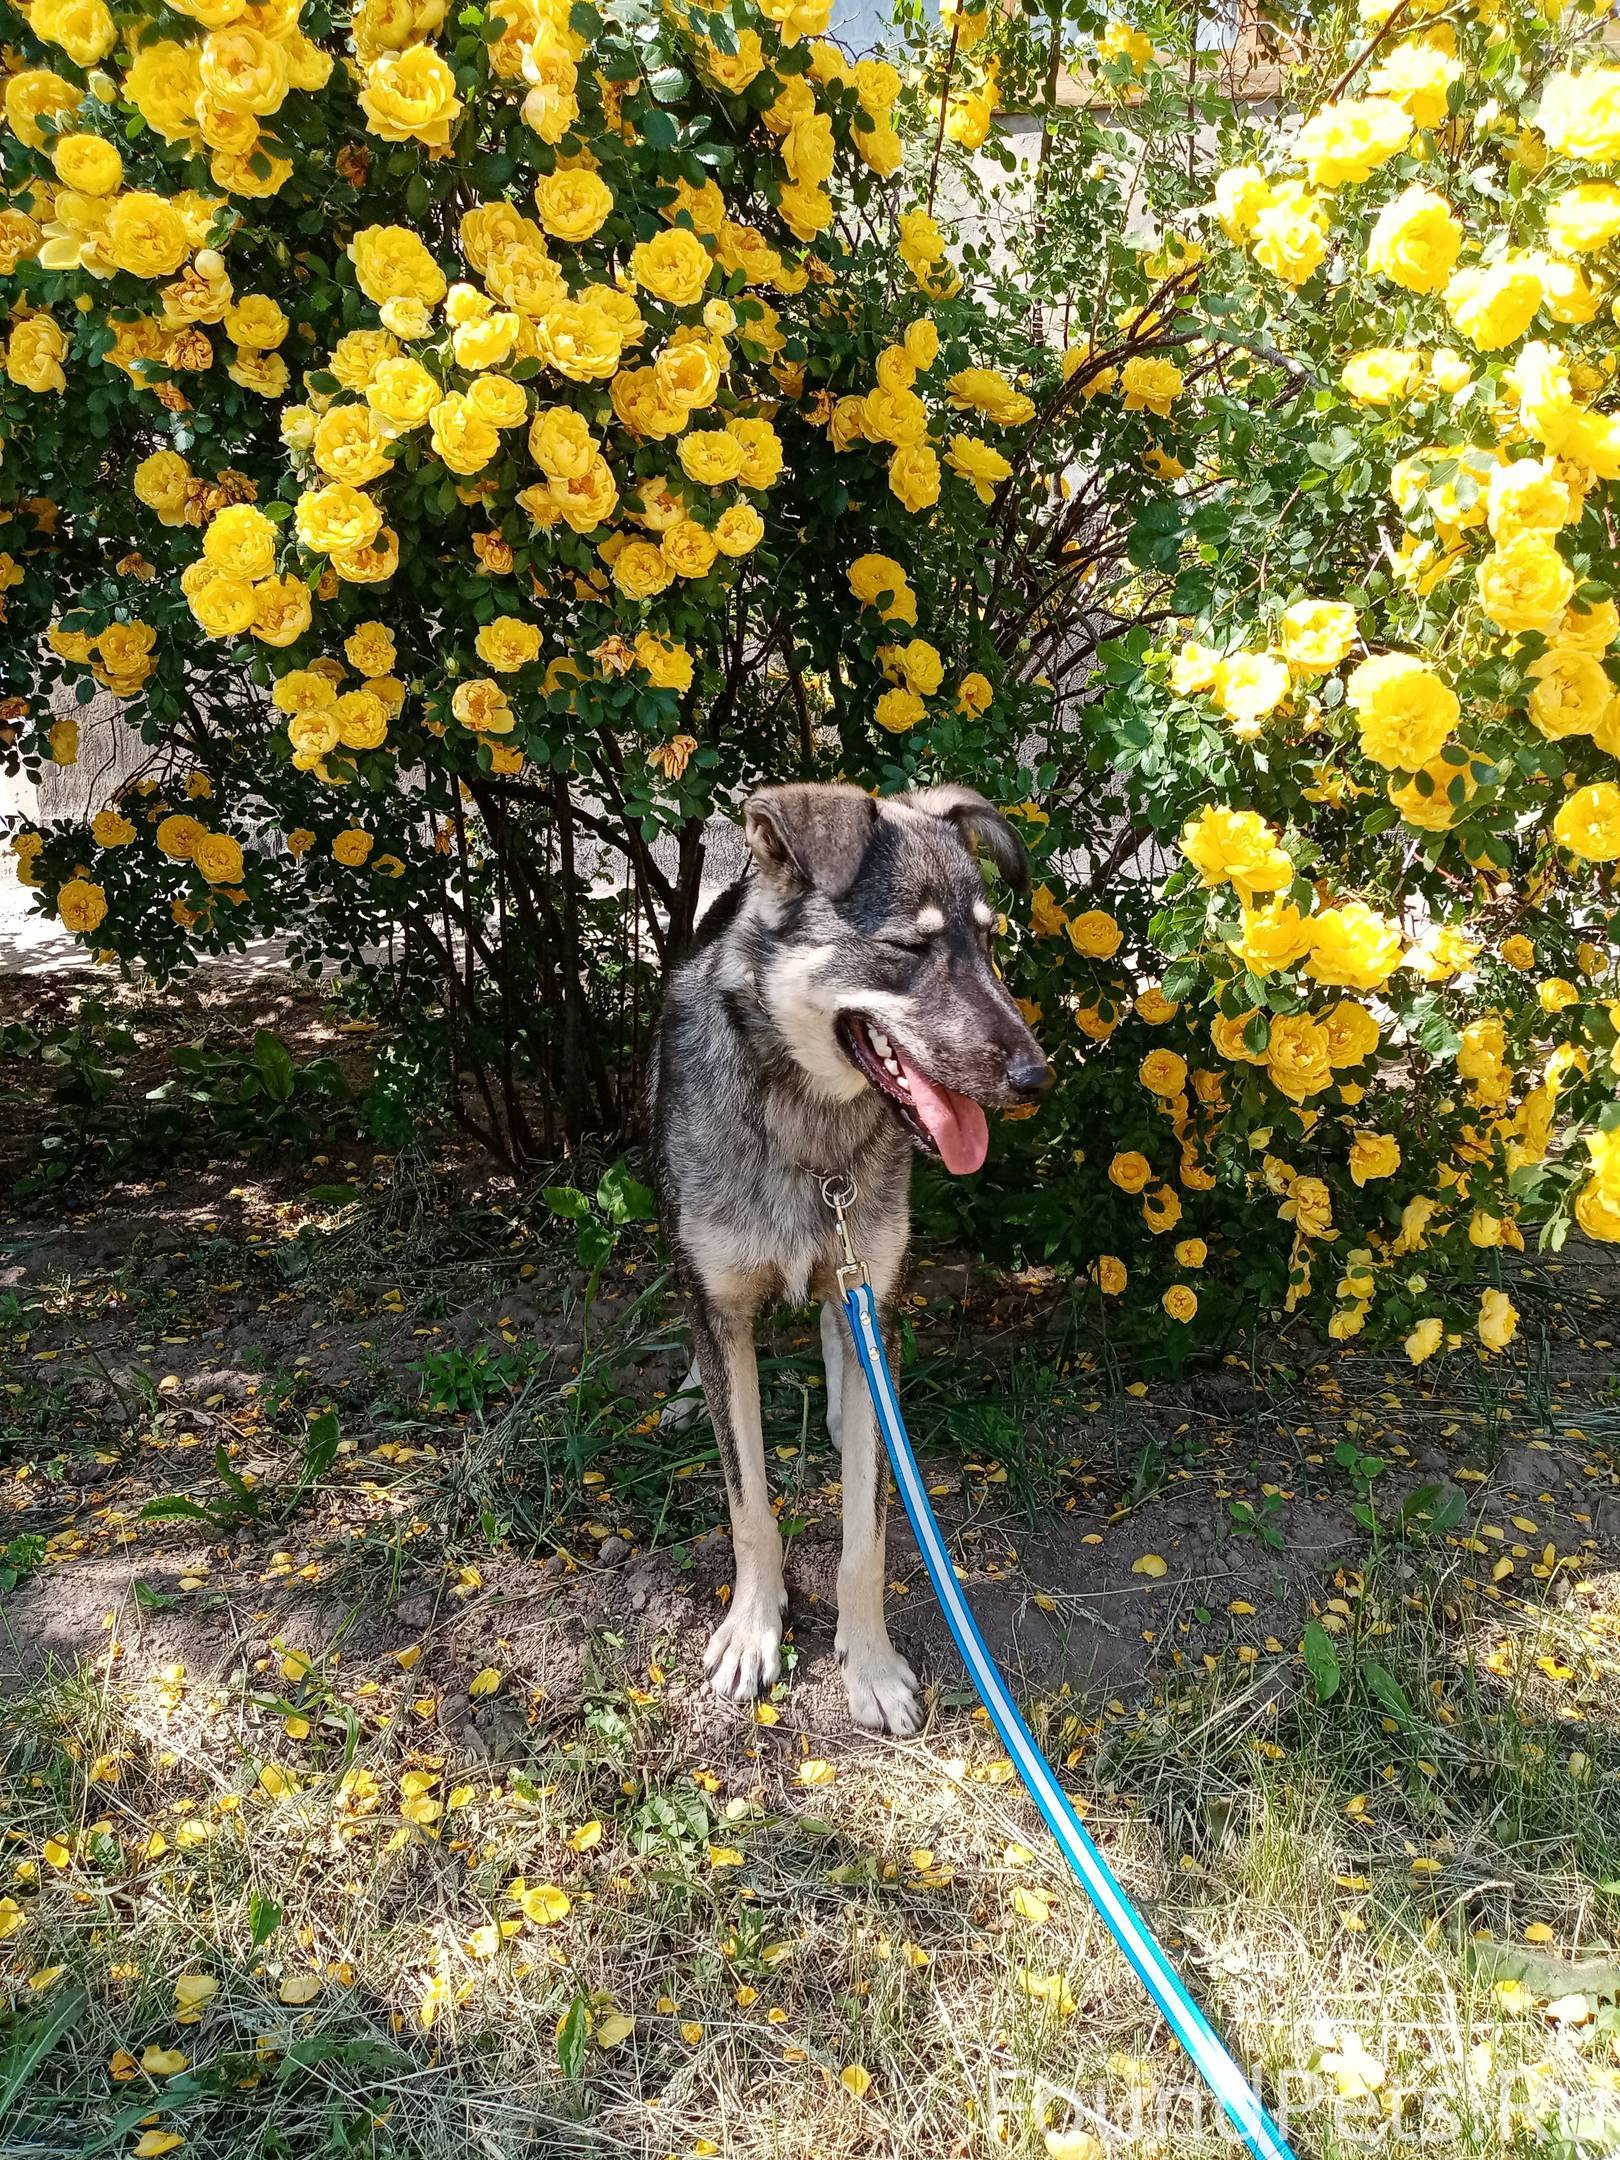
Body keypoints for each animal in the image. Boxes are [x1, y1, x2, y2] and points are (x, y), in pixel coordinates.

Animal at [656, 786, 1054, 1728]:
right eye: (909, 949)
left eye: (990, 942)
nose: (1037, 1077)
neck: (810, 1134)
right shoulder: (722, 1303)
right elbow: (749, 1504)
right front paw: (753, 1632)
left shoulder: (870, 1283)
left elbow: (867, 1530)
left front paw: (868, 1667)